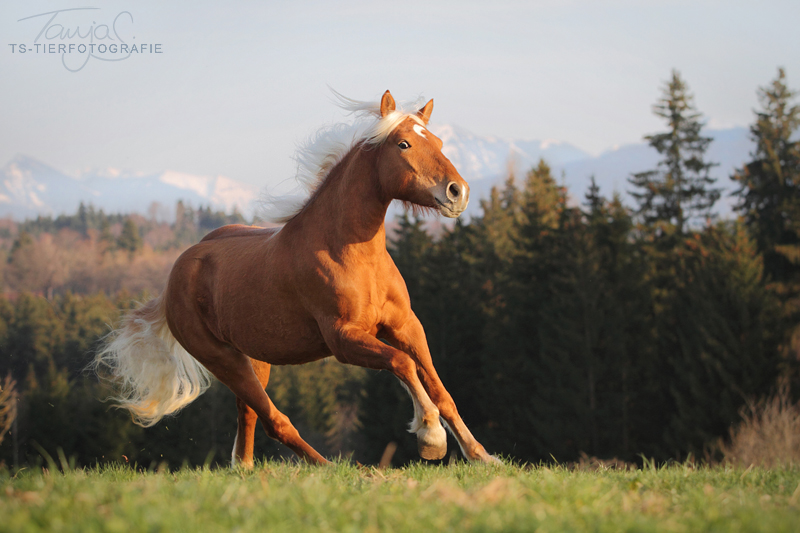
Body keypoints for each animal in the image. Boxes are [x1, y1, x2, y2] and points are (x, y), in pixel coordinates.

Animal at [97, 91, 496, 466]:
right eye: (404, 144)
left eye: (439, 142)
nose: (458, 192)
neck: (349, 252)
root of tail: (176, 274)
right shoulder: (343, 338)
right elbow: (402, 364)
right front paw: (430, 437)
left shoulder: (405, 326)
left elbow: (439, 389)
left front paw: (481, 455)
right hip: (221, 358)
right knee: (275, 420)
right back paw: (335, 468)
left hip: (254, 358)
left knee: (249, 416)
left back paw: (247, 469)